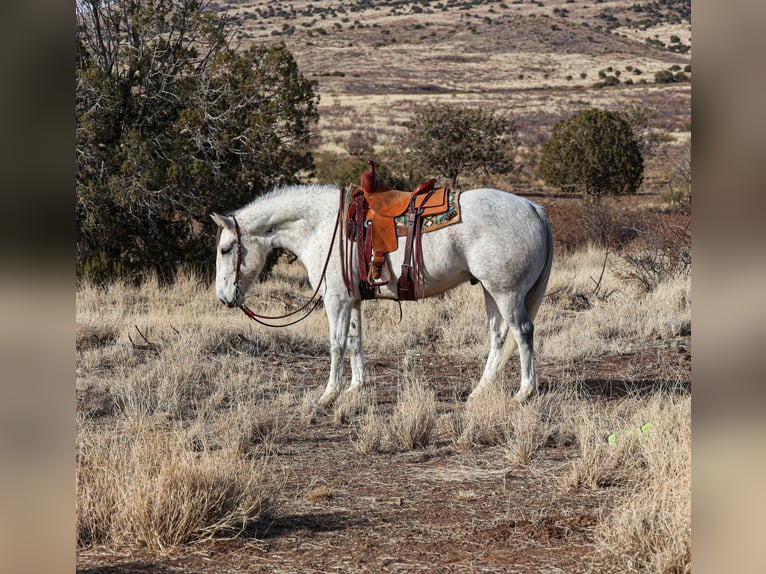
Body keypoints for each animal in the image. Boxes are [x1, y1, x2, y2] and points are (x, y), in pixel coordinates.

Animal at [213, 184, 556, 410]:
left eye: (226, 249)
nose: (223, 298)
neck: (322, 227)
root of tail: (533, 208)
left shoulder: (336, 299)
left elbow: (336, 344)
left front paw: (328, 395)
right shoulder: (352, 300)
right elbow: (355, 341)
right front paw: (355, 388)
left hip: (506, 293)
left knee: (523, 332)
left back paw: (524, 392)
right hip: (490, 291)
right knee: (499, 336)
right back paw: (480, 391)